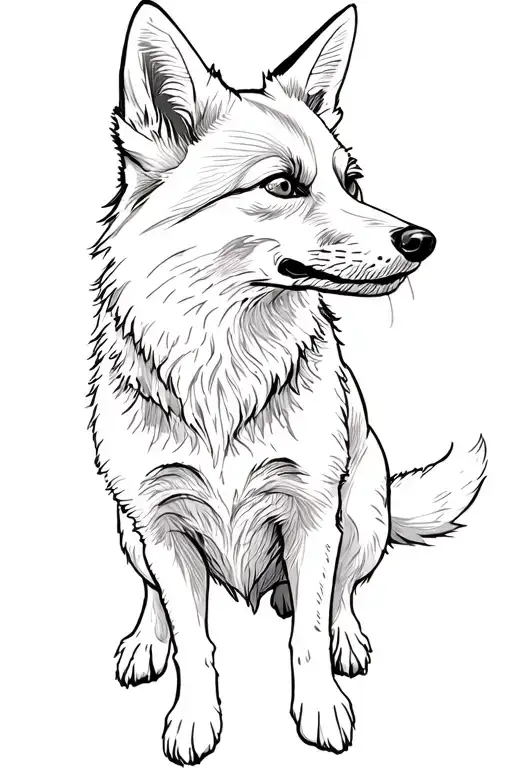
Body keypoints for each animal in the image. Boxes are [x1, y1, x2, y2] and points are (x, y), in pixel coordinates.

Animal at [89, 2, 487, 764]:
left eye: (353, 183)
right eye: (281, 185)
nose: (422, 240)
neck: (226, 359)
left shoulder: (311, 511)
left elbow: (305, 633)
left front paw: (321, 707)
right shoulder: (161, 521)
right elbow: (194, 640)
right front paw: (193, 717)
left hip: (362, 510)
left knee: (341, 591)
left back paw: (343, 635)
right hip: (129, 530)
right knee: (156, 597)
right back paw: (146, 639)